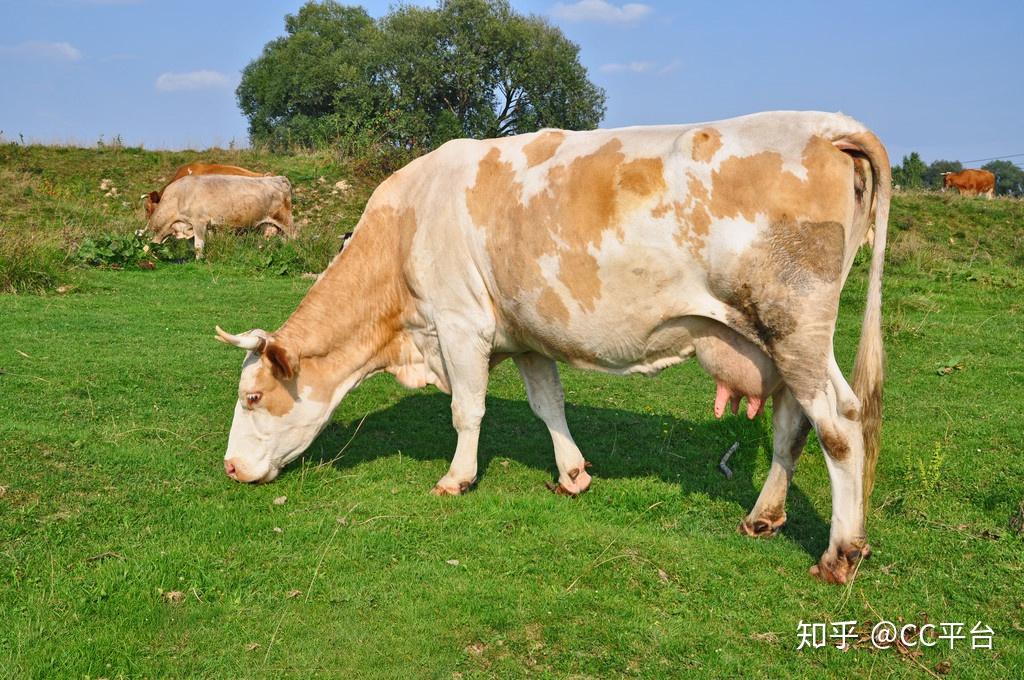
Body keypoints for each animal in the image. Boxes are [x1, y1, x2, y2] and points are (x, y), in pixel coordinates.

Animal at [214, 111, 888, 585]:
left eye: (252, 397)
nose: (230, 468)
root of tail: (827, 124)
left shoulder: (459, 323)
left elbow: (467, 409)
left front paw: (457, 478)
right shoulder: (526, 333)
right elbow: (549, 406)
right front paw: (572, 474)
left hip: (794, 324)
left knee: (840, 424)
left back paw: (840, 554)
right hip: (782, 341)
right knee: (791, 424)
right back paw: (763, 517)